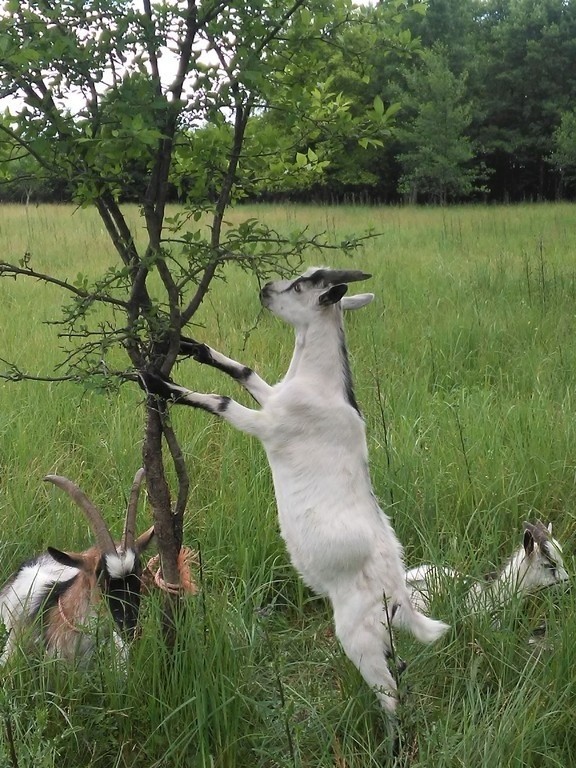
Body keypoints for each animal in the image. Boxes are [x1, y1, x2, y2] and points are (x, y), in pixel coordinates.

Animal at [140, 268, 450, 712]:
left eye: (303, 285)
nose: (266, 289)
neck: (318, 384)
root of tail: (397, 590)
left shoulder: (267, 424)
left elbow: (222, 400)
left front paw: (159, 382)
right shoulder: (271, 396)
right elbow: (246, 372)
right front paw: (189, 345)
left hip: (359, 636)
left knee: (389, 693)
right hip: (383, 637)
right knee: (399, 671)